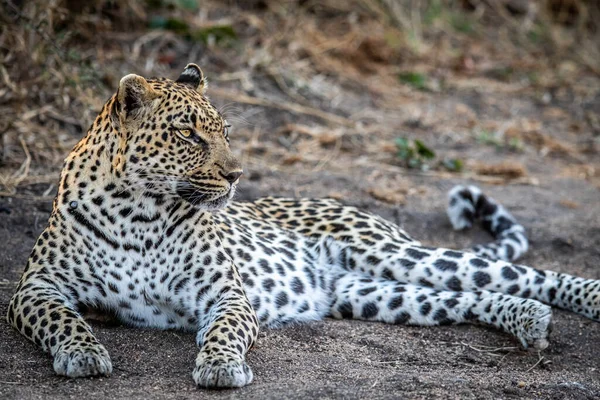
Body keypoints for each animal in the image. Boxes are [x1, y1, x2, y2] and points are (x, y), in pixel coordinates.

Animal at [8, 64, 600, 390]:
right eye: (189, 134)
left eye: (224, 131)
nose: (236, 174)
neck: (139, 211)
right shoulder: (34, 287)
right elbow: (60, 318)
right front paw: (82, 353)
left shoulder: (226, 293)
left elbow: (223, 331)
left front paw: (220, 367)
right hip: (372, 294)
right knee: (464, 296)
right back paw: (528, 322)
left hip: (391, 253)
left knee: (519, 273)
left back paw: (574, 301)